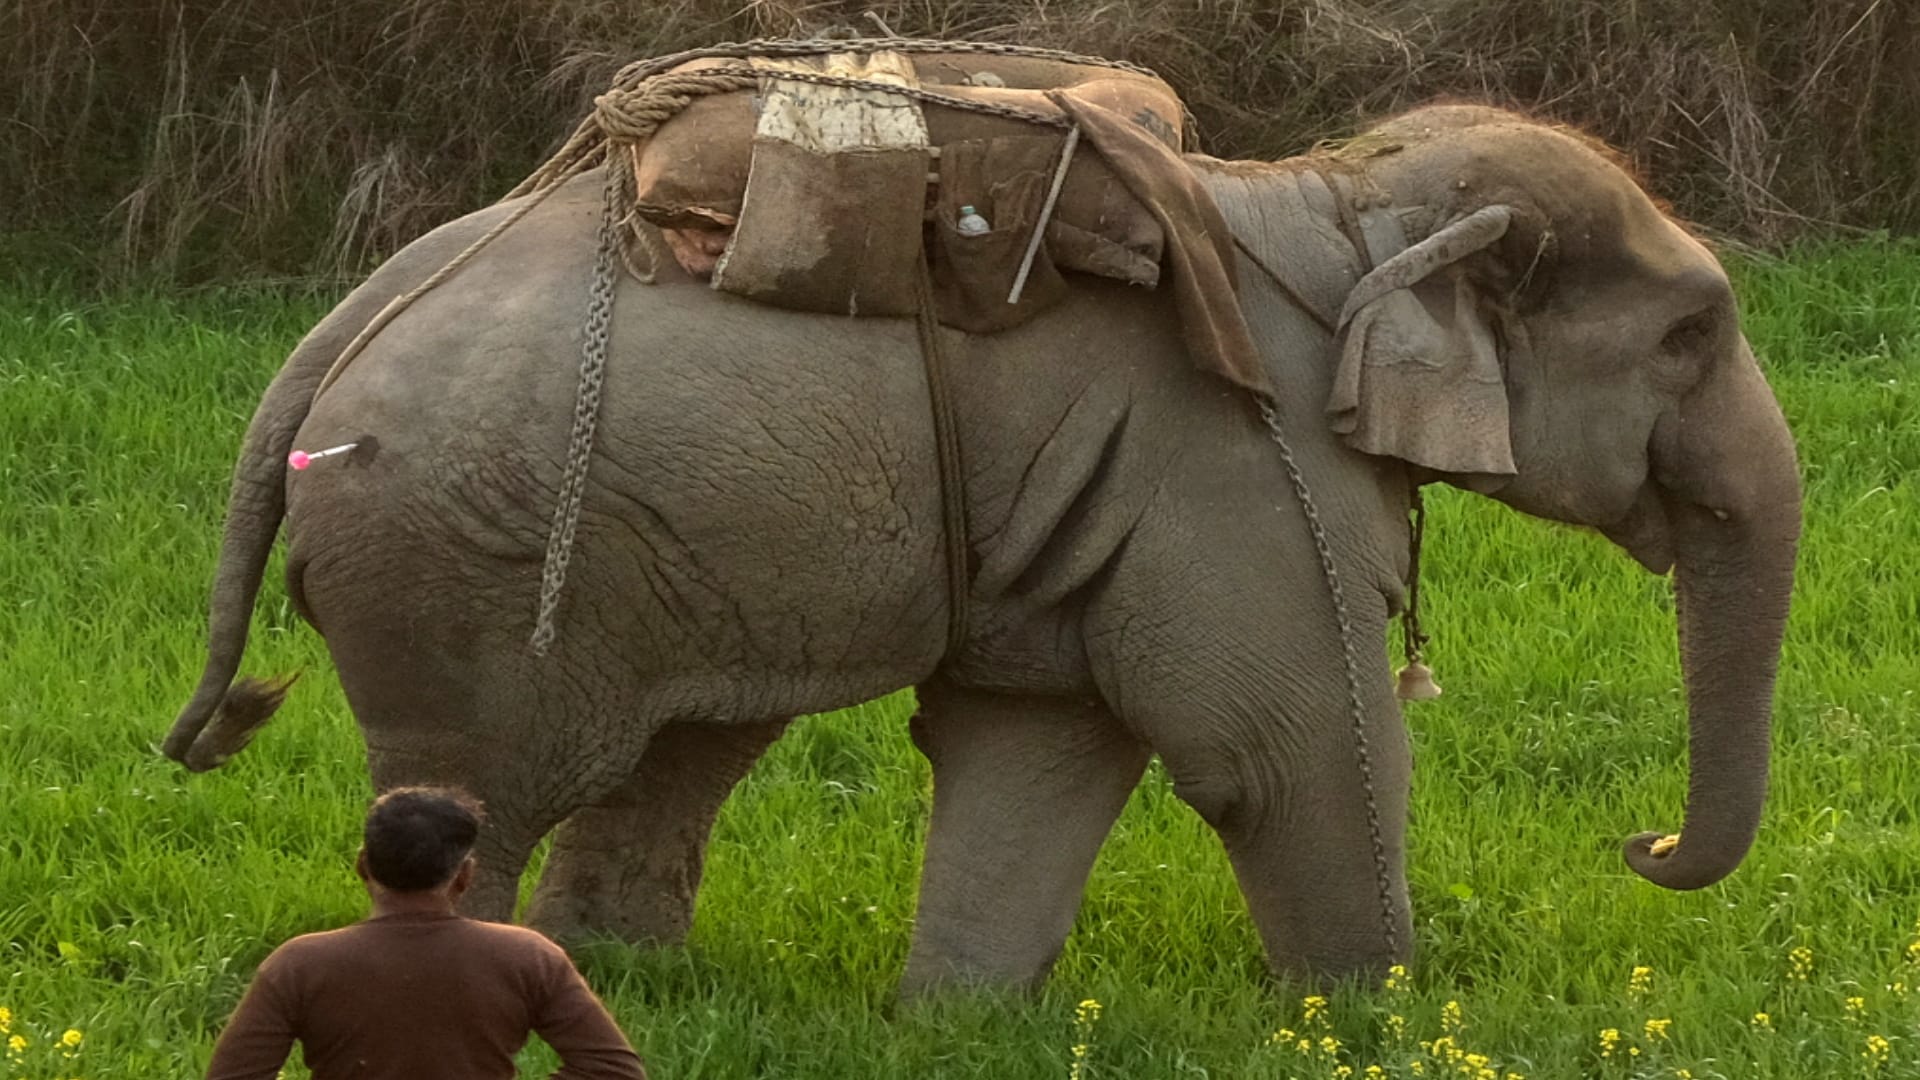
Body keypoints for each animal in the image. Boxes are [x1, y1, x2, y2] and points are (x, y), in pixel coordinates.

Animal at [164, 102, 1801, 994]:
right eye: (1690, 335)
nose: (1641, 846)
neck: (1342, 195)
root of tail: (311, 358)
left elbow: (1041, 733)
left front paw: (955, 1018)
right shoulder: (1244, 464)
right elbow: (1271, 749)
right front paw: (1370, 1018)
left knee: (679, 753)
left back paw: (633, 982)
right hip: (471, 567)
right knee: (484, 802)